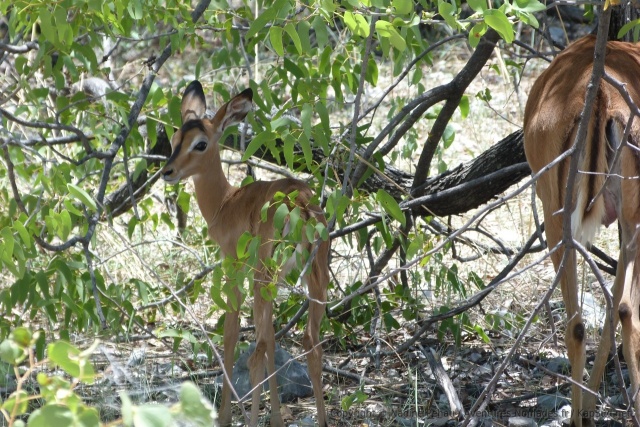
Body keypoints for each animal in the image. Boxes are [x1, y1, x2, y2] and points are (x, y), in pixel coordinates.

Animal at [161, 81, 330, 427]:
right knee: (310, 343)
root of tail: (301, 205)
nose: (167, 171)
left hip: (264, 277)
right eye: (174, 139)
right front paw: (276, 418)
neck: (228, 202)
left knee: (257, 350)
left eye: (200, 144)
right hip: (314, 278)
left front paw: (226, 415)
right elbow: (271, 338)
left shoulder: (233, 266)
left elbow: (231, 334)